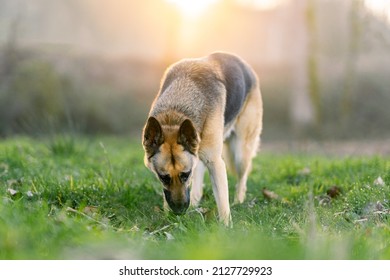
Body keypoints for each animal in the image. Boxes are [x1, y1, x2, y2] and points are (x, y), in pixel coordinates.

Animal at [142, 52, 264, 226]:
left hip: (240, 153)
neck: (176, 113)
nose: (179, 212)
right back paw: (194, 202)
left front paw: (227, 226)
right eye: (163, 177)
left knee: (242, 178)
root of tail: (242, 62)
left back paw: (238, 201)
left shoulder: (215, 163)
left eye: (185, 175)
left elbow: (222, 202)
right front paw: (168, 217)